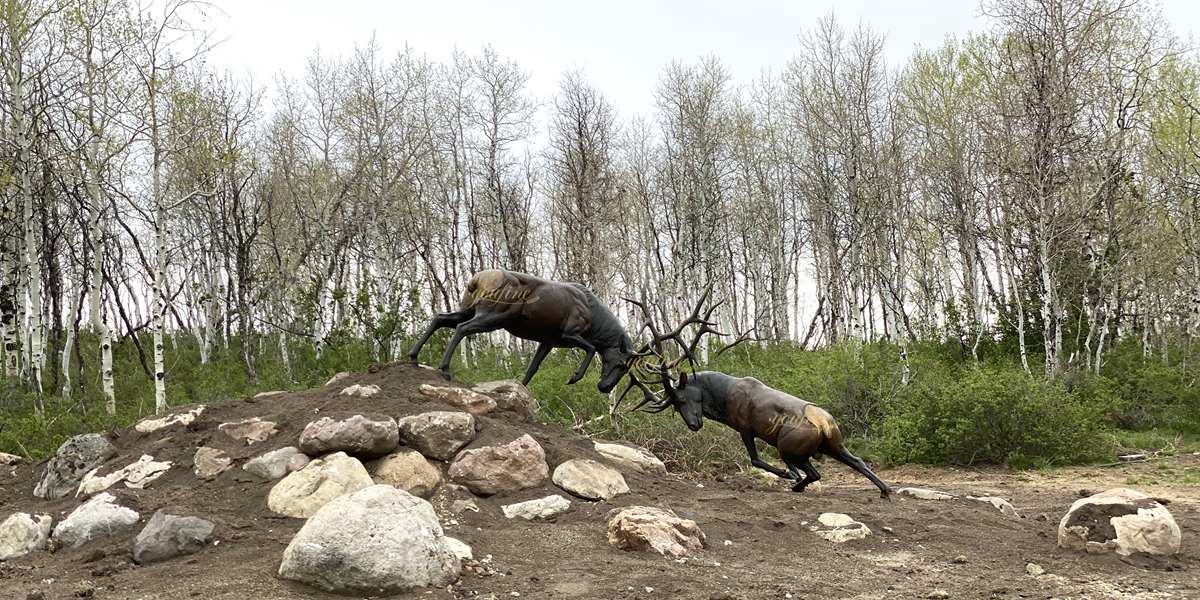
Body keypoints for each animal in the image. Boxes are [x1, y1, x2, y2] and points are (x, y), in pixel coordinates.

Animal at [407, 269, 636, 393]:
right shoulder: (569, 333)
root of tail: (475, 280)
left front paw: (522, 390)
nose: (605, 387)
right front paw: (573, 377)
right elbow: (590, 348)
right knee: (462, 328)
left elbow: (532, 368)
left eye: (626, 369)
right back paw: (445, 368)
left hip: (468, 309)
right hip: (495, 316)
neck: (596, 323)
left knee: (440, 318)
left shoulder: (548, 341)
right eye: (620, 364)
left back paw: (413, 356)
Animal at [623, 294, 892, 499]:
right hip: (834, 445)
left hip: (789, 447)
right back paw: (884, 489)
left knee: (814, 472)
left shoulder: (745, 428)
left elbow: (755, 460)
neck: (721, 399)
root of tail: (824, 423)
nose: (694, 424)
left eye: (681, 399)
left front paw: (786, 474)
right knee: (856, 461)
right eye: (676, 407)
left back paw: (797, 484)